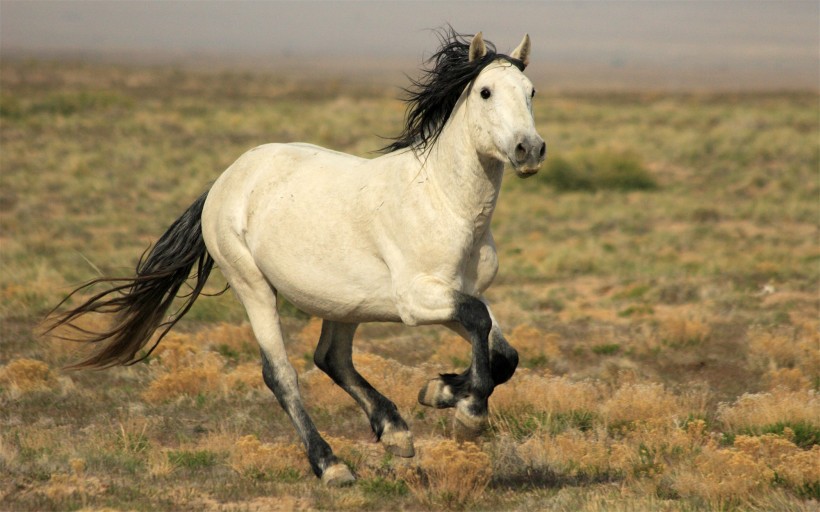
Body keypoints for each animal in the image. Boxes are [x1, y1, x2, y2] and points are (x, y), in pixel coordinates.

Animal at [49, 30, 544, 486]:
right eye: (485, 92)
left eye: (531, 91)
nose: (530, 150)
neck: (443, 202)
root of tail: (227, 179)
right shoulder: (417, 301)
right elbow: (480, 323)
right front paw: (467, 414)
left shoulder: (456, 294)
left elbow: (503, 352)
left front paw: (438, 390)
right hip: (253, 287)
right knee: (281, 374)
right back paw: (331, 465)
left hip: (347, 303)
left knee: (332, 359)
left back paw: (396, 432)